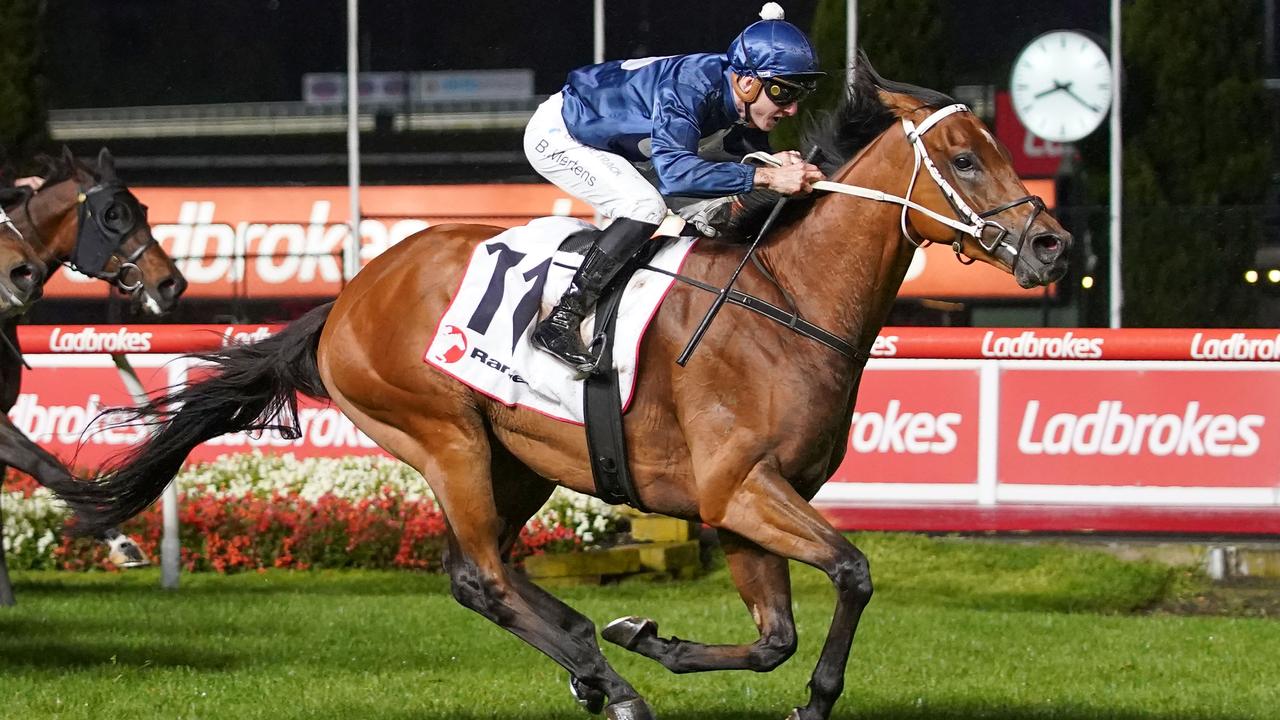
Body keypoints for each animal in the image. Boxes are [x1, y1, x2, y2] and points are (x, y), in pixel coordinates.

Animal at [55, 60, 1064, 717]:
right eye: (965, 159)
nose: (1051, 244)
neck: (785, 299)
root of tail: (347, 297)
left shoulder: (746, 504)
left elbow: (775, 634)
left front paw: (653, 637)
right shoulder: (740, 488)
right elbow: (852, 572)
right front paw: (804, 700)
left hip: (518, 462)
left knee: (481, 575)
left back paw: (595, 662)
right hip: (444, 436)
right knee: (488, 576)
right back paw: (601, 672)